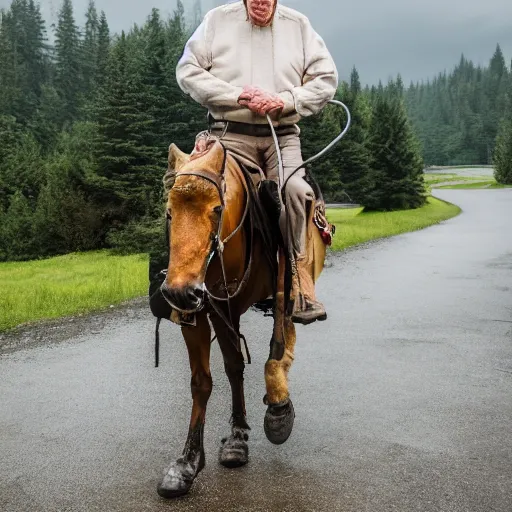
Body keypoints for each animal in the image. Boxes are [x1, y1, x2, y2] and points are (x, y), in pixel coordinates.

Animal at [154, 138, 328, 498]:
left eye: (216, 209)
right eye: (169, 212)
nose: (179, 291)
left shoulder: (248, 302)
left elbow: (259, 356)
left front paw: (273, 415)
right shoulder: (202, 312)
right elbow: (206, 380)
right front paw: (189, 463)